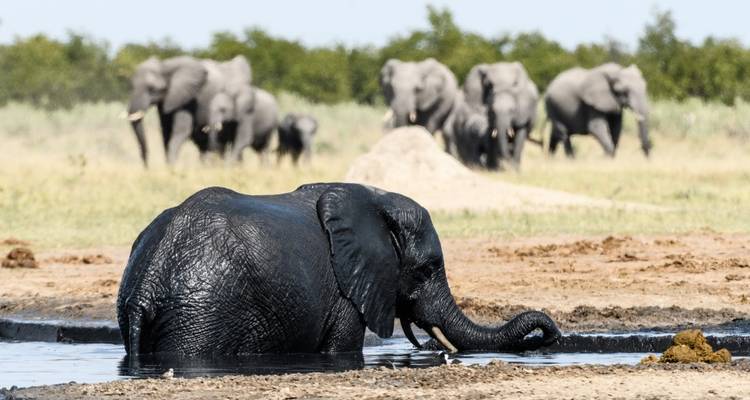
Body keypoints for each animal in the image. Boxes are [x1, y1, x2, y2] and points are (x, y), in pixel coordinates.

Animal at [117, 183, 560, 356]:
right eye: (427, 269)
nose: (551, 336)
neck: (376, 197)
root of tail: (148, 284)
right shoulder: (346, 287)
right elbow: (341, 348)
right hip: (202, 314)